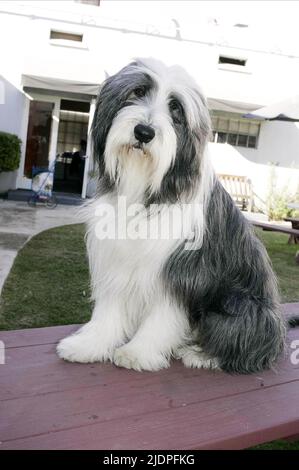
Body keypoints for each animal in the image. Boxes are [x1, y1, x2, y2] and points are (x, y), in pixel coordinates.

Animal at [56, 58, 288, 372]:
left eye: (175, 108)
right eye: (137, 92)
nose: (144, 132)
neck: (146, 190)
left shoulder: (181, 271)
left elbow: (163, 316)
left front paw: (138, 352)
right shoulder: (116, 258)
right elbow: (109, 308)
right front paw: (88, 345)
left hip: (241, 307)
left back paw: (201, 354)